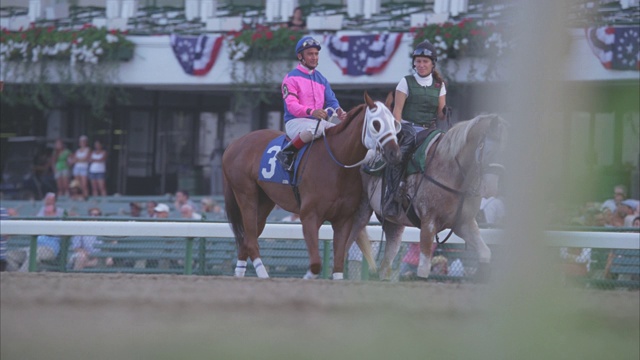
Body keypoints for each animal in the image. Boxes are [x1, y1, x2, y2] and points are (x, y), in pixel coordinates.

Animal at [221, 92, 400, 278]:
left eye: (394, 122)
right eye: (376, 124)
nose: (394, 153)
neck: (336, 164)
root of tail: (233, 144)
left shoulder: (343, 220)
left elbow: (338, 265)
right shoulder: (309, 217)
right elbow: (315, 265)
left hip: (264, 200)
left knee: (247, 240)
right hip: (246, 195)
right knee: (250, 240)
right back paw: (263, 275)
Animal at [350, 114, 504, 280]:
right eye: (489, 151)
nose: (491, 189)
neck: (450, 171)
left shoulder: (463, 223)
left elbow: (485, 252)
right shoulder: (428, 222)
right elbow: (423, 269)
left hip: (394, 225)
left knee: (385, 264)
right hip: (360, 214)